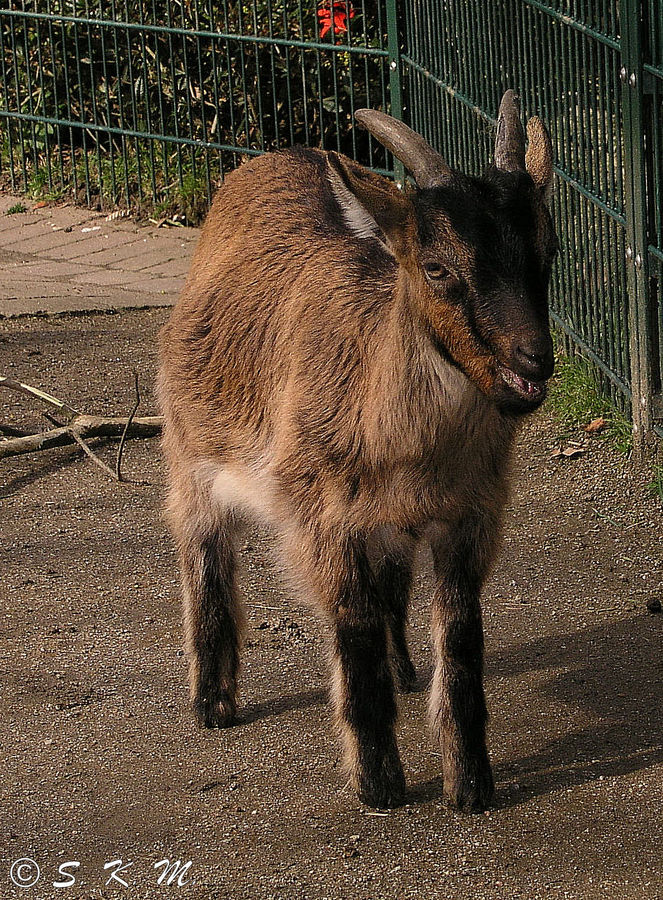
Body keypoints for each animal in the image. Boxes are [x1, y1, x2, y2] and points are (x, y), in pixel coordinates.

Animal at [161, 93, 560, 816]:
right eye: (436, 267)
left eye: (549, 248)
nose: (531, 362)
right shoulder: (322, 516)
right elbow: (353, 625)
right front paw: (379, 784)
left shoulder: (469, 517)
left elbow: (460, 637)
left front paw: (471, 787)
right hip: (190, 448)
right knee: (202, 552)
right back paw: (213, 701)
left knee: (391, 586)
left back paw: (404, 671)